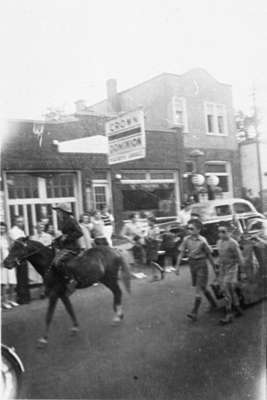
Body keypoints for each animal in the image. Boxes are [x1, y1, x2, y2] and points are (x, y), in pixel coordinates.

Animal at [4, 238, 132, 346]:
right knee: (117, 293)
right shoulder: (61, 293)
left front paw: (43, 339)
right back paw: (119, 315)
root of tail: (114, 250)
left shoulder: (54, 293)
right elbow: (69, 309)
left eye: (18, 248)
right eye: (11, 247)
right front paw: (75, 327)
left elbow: (49, 315)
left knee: (118, 292)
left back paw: (117, 317)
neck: (48, 264)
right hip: (106, 279)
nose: (6, 263)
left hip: (109, 278)